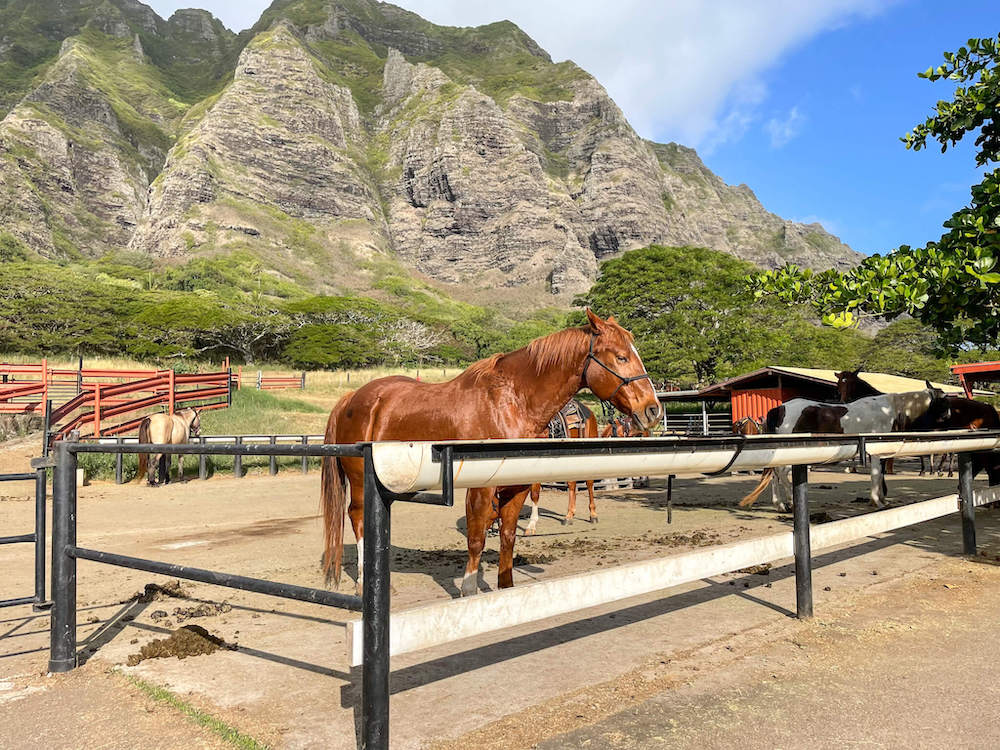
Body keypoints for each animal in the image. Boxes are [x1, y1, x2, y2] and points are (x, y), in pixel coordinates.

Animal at [322, 308, 664, 596]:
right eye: (621, 357)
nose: (652, 410)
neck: (512, 403)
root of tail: (353, 397)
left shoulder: (517, 486)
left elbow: (508, 537)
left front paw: (505, 587)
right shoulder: (481, 487)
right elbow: (476, 538)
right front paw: (468, 589)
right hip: (361, 480)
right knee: (358, 518)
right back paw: (364, 583)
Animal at [744, 394, 952, 512]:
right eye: (941, 405)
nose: (948, 421)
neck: (888, 410)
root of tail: (780, 408)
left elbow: (880, 475)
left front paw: (881, 500)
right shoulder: (876, 452)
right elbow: (876, 475)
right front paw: (878, 502)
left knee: (774, 475)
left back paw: (780, 506)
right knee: (781, 473)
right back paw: (791, 503)